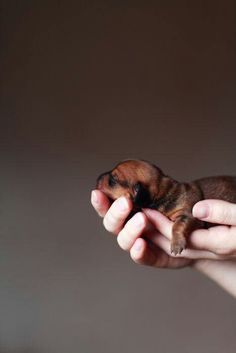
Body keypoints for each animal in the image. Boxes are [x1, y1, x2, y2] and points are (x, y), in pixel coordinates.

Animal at [95, 159, 236, 253]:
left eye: (112, 180)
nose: (98, 177)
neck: (163, 192)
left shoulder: (188, 214)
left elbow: (178, 225)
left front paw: (177, 244)